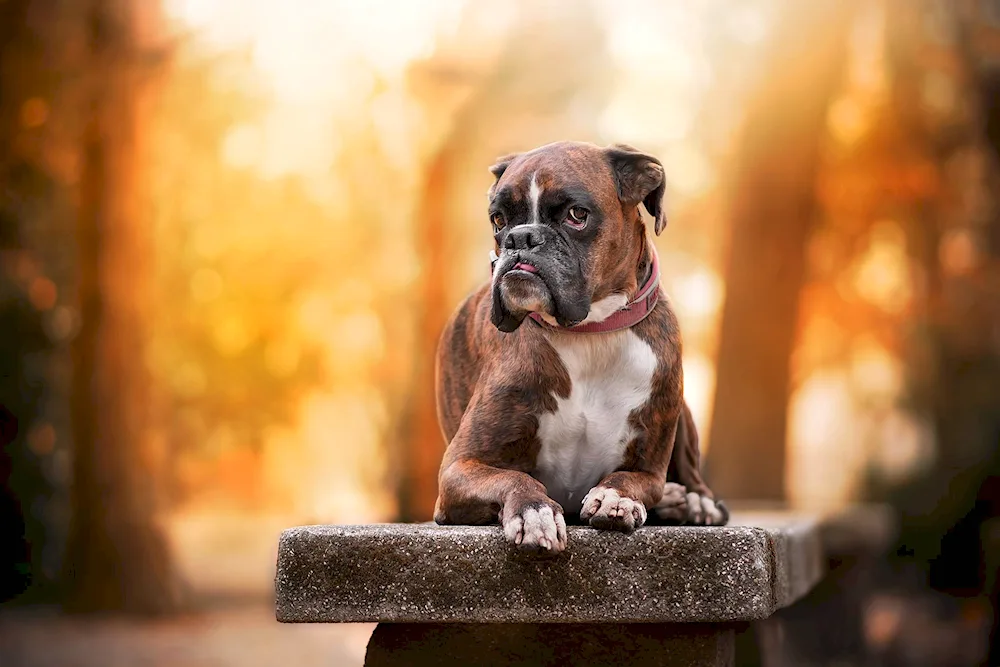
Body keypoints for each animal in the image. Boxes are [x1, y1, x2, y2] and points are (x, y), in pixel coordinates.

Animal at [434, 141, 724, 552]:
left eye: (576, 215)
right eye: (498, 220)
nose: (521, 237)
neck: (589, 333)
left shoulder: (649, 471)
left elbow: (630, 480)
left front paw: (616, 498)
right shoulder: (458, 468)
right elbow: (515, 478)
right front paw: (535, 512)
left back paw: (692, 502)